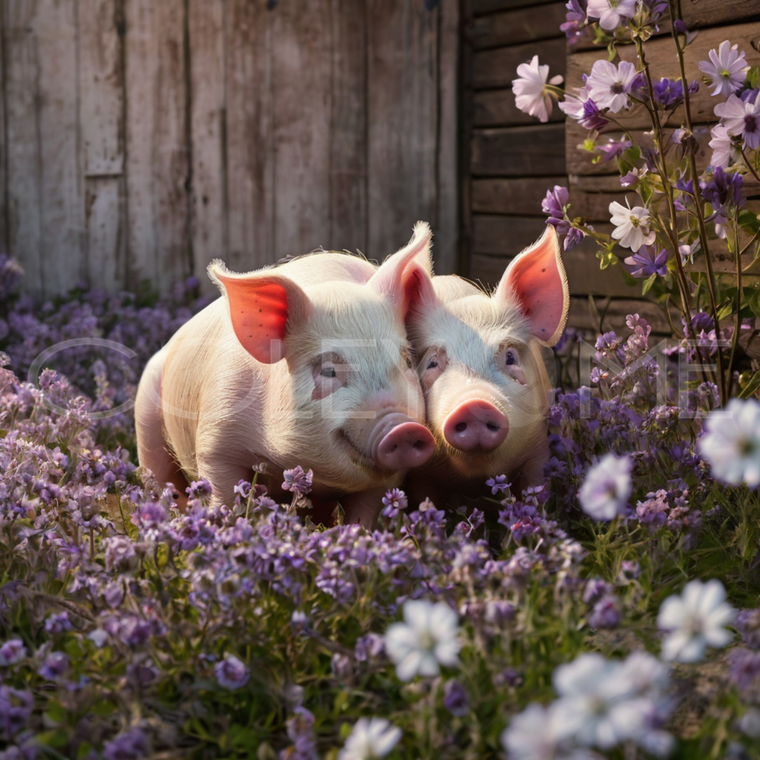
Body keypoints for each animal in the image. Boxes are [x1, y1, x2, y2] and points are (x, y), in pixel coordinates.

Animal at [134, 223, 436, 527]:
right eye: (328, 370)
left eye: (407, 361)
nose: (403, 427)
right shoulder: (216, 434)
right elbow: (224, 495)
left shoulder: (384, 482)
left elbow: (364, 514)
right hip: (146, 419)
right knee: (160, 476)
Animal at [403, 226, 569, 506]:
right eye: (433, 362)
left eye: (510, 357)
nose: (475, 405)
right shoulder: (420, 472)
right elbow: (426, 499)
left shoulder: (538, 445)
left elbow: (535, 490)